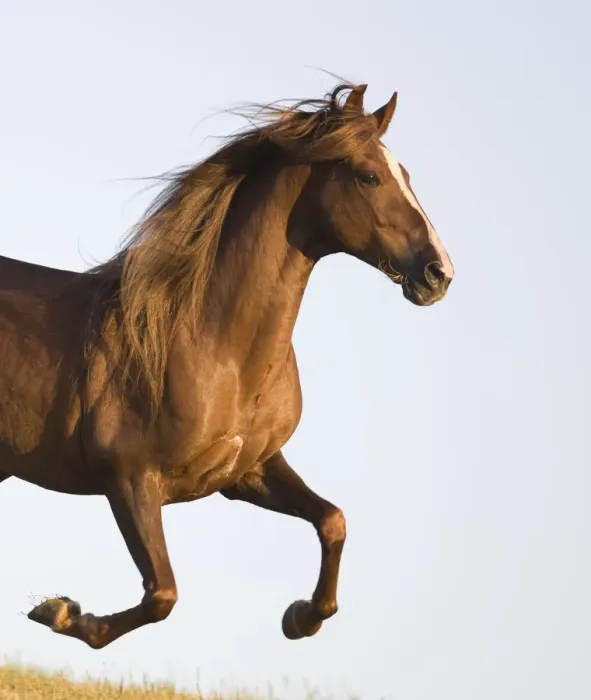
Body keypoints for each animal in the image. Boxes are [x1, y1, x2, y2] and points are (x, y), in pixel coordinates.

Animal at [0, 83, 454, 649]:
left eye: (405, 174)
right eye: (369, 176)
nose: (438, 273)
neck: (217, 351)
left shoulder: (247, 472)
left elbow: (333, 521)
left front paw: (300, 618)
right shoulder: (129, 480)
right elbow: (162, 594)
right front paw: (61, 613)